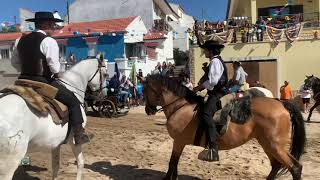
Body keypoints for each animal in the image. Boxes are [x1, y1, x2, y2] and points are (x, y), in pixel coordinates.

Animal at [142, 74, 304, 180]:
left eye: (144, 90)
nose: (148, 110)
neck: (180, 106)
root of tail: (281, 103)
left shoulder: (178, 142)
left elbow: (172, 163)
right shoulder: (179, 142)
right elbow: (173, 164)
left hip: (275, 145)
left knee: (295, 167)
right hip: (267, 143)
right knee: (276, 165)